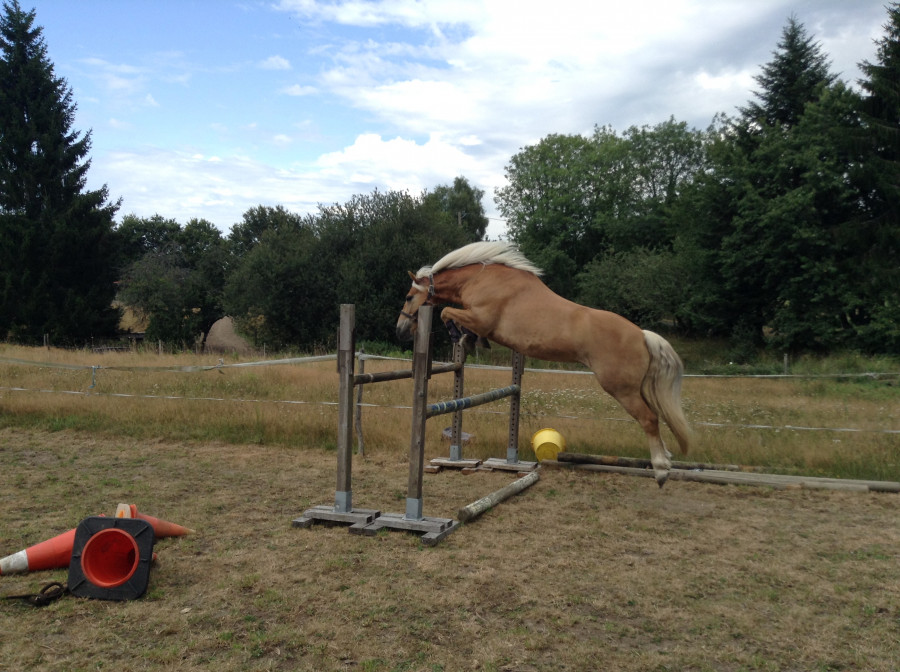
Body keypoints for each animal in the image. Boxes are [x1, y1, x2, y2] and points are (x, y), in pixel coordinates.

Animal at [396, 241, 690, 486]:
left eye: (409, 297)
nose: (400, 330)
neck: (482, 279)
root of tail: (641, 335)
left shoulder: (481, 318)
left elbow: (447, 313)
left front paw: (464, 339)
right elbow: (457, 320)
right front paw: (469, 340)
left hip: (621, 389)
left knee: (649, 419)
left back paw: (661, 470)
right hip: (637, 388)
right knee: (657, 416)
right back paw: (667, 459)